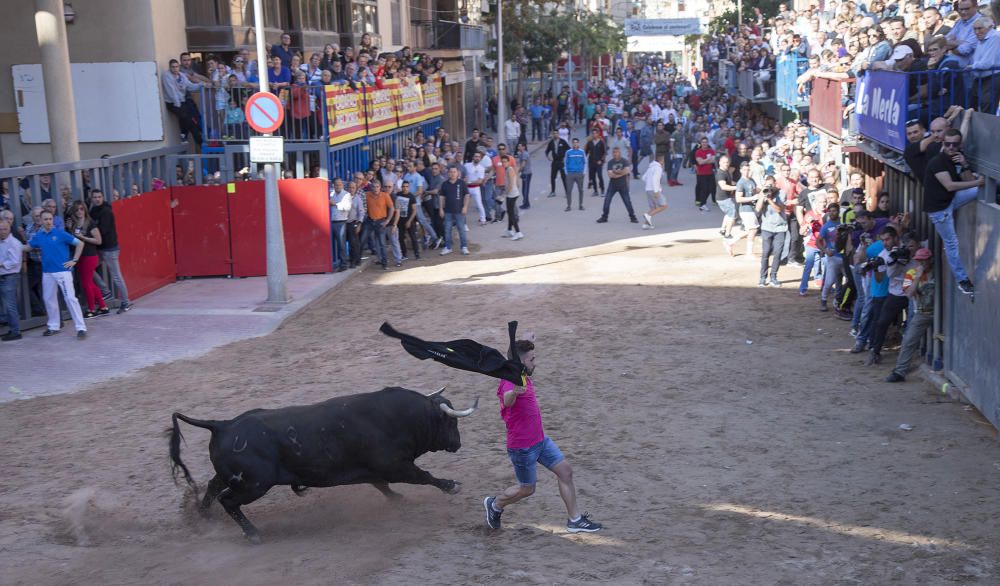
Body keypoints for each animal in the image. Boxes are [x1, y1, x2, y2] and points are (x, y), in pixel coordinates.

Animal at [169, 386, 480, 540]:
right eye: (451, 421)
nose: (457, 443)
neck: (399, 417)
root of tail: (222, 425)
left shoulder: (371, 469)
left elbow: (381, 485)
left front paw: (398, 500)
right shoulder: (396, 466)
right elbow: (424, 476)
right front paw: (452, 486)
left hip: (234, 478)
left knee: (212, 488)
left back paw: (204, 519)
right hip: (254, 484)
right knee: (228, 500)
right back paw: (253, 534)